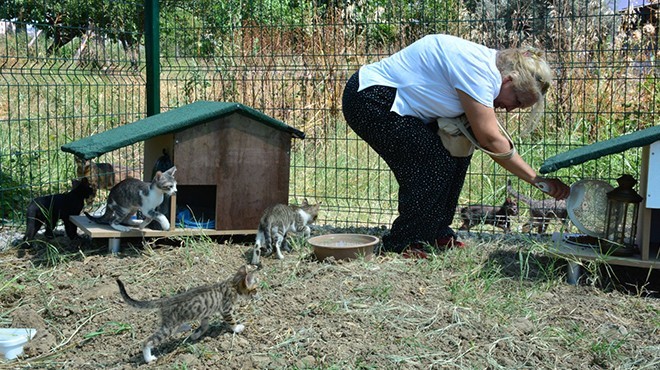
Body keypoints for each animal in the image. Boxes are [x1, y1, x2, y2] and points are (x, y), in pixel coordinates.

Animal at [116, 266, 258, 364]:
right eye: (255, 289)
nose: (259, 294)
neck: (233, 284)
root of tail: (164, 301)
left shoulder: (205, 314)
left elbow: (204, 326)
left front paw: (196, 335)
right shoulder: (226, 310)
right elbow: (231, 321)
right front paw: (238, 328)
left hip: (171, 324)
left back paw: (186, 327)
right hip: (168, 327)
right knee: (147, 341)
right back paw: (148, 358)